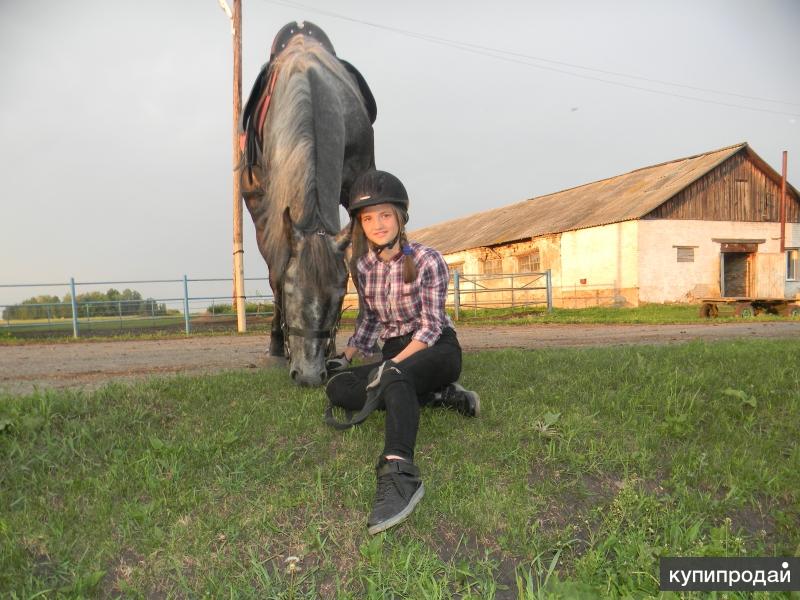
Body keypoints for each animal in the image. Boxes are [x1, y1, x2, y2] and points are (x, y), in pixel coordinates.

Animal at [241, 32, 376, 386]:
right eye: (290, 292)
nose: (309, 375)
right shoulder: (263, 209)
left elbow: (359, 261)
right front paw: (276, 347)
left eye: (340, 299)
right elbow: (274, 272)